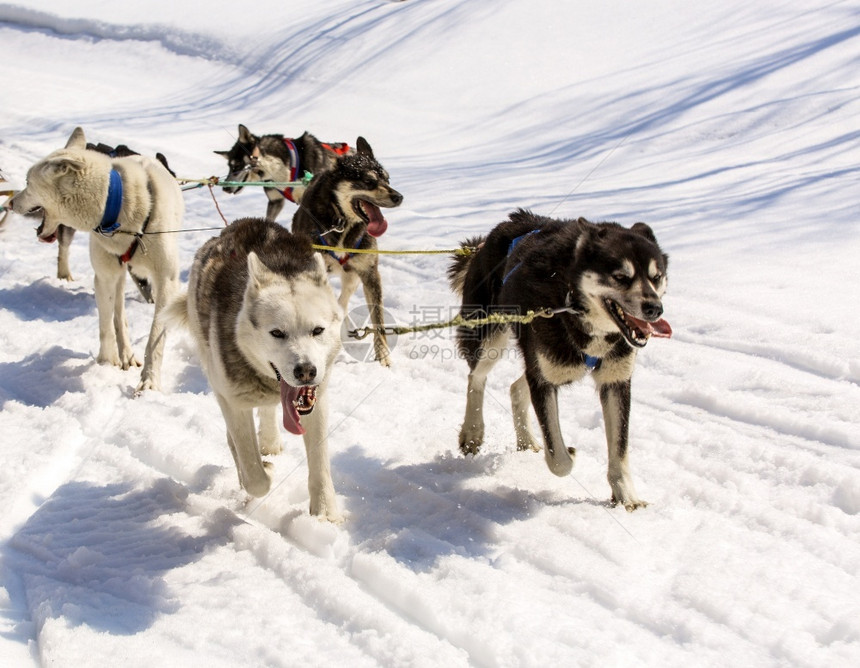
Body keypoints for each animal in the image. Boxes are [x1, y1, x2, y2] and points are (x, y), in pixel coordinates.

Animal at [5, 128, 183, 394]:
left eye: (27, 182)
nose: (9, 203)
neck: (118, 207)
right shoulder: (105, 276)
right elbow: (106, 325)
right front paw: (105, 364)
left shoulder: (166, 281)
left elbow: (155, 337)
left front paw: (149, 382)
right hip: (115, 274)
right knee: (118, 315)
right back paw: (124, 354)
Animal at [166, 219, 344, 520]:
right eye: (277, 333)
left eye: (318, 330)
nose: (306, 371)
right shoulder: (234, 402)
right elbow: (253, 474)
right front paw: (264, 473)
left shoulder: (317, 402)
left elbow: (319, 463)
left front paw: (324, 513)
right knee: (234, 440)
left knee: (268, 411)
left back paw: (270, 441)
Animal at [292, 136, 404, 366]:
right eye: (369, 181)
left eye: (388, 179)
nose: (399, 197)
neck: (341, 223)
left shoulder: (370, 274)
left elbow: (378, 320)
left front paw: (384, 358)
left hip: (352, 277)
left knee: (341, 302)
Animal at [450, 209, 672, 512]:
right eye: (620, 277)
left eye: (656, 277)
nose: (655, 308)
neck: (571, 300)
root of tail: (505, 225)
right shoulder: (544, 381)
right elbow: (557, 457)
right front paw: (569, 453)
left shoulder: (615, 381)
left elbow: (619, 450)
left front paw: (626, 497)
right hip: (491, 338)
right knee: (477, 377)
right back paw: (472, 432)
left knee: (516, 387)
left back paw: (526, 440)